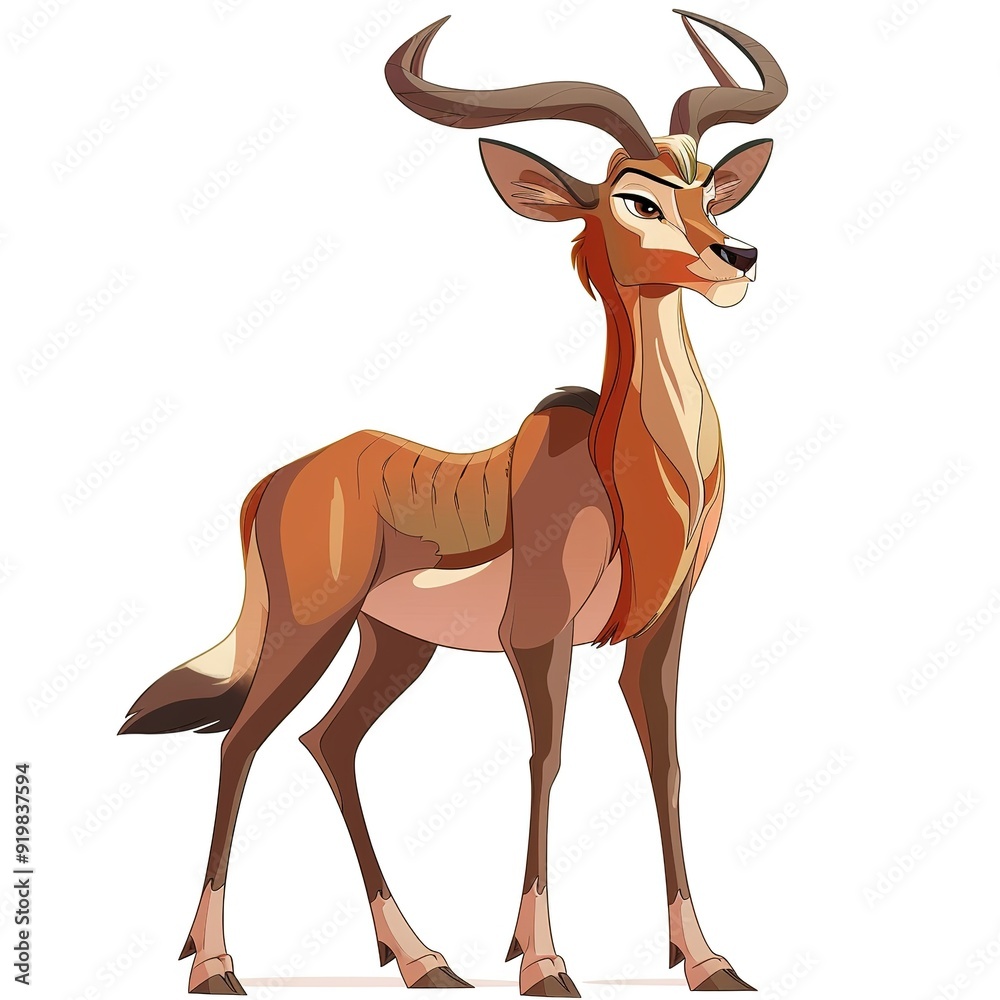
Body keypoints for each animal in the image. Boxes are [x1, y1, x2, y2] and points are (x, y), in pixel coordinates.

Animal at [120, 9, 787, 995]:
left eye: (710, 187)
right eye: (637, 198)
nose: (738, 256)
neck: (626, 482)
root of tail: (275, 482)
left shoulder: (660, 632)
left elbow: (665, 763)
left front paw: (707, 959)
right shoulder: (538, 636)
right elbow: (547, 761)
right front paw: (543, 962)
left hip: (394, 644)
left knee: (329, 742)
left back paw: (424, 957)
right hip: (311, 629)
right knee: (240, 741)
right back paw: (215, 966)